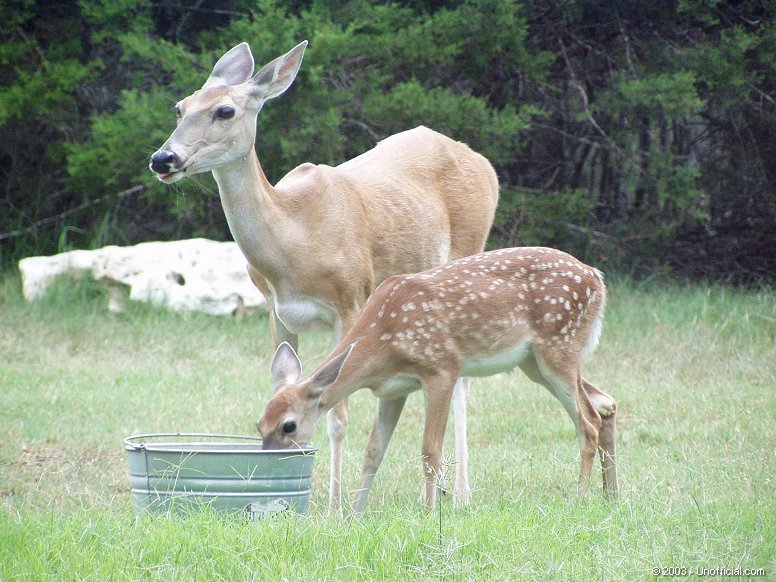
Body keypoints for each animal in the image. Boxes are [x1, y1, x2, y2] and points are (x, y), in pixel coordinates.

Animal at [147, 42, 498, 516]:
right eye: (179, 107)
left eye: (225, 110)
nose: (163, 158)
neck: (294, 241)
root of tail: (484, 163)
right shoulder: (277, 311)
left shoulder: (350, 300)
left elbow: (337, 416)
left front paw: (333, 505)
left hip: (469, 252)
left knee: (462, 381)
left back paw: (460, 493)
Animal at [260, 248, 620, 516]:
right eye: (259, 424)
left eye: (289, 425)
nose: (269, 460)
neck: (383, 338)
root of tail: (597, 278)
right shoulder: (393, 390)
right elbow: (374, 450)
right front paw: (354, 515)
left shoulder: (442, 368)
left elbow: (429, 451)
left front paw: (430, 513)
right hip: (534, 362)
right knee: (605, 403)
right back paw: (611, 496)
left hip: (557, 345)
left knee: (587, 420)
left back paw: (579, 497)